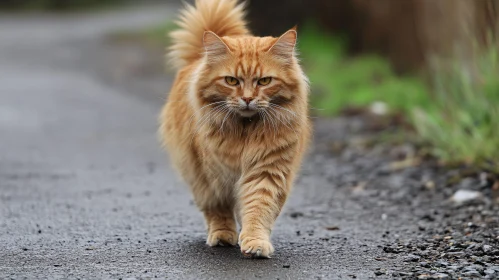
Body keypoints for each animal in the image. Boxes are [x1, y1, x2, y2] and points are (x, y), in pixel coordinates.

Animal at [160, 0, 310, 258]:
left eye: (264, 81)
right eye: (231, 81)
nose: (248, 99)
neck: (245, 131)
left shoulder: (267, 170)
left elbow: (257, 208)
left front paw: (255, 242)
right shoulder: (214, 175)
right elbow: (220, 209)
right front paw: (224, 234)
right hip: (195, 173)